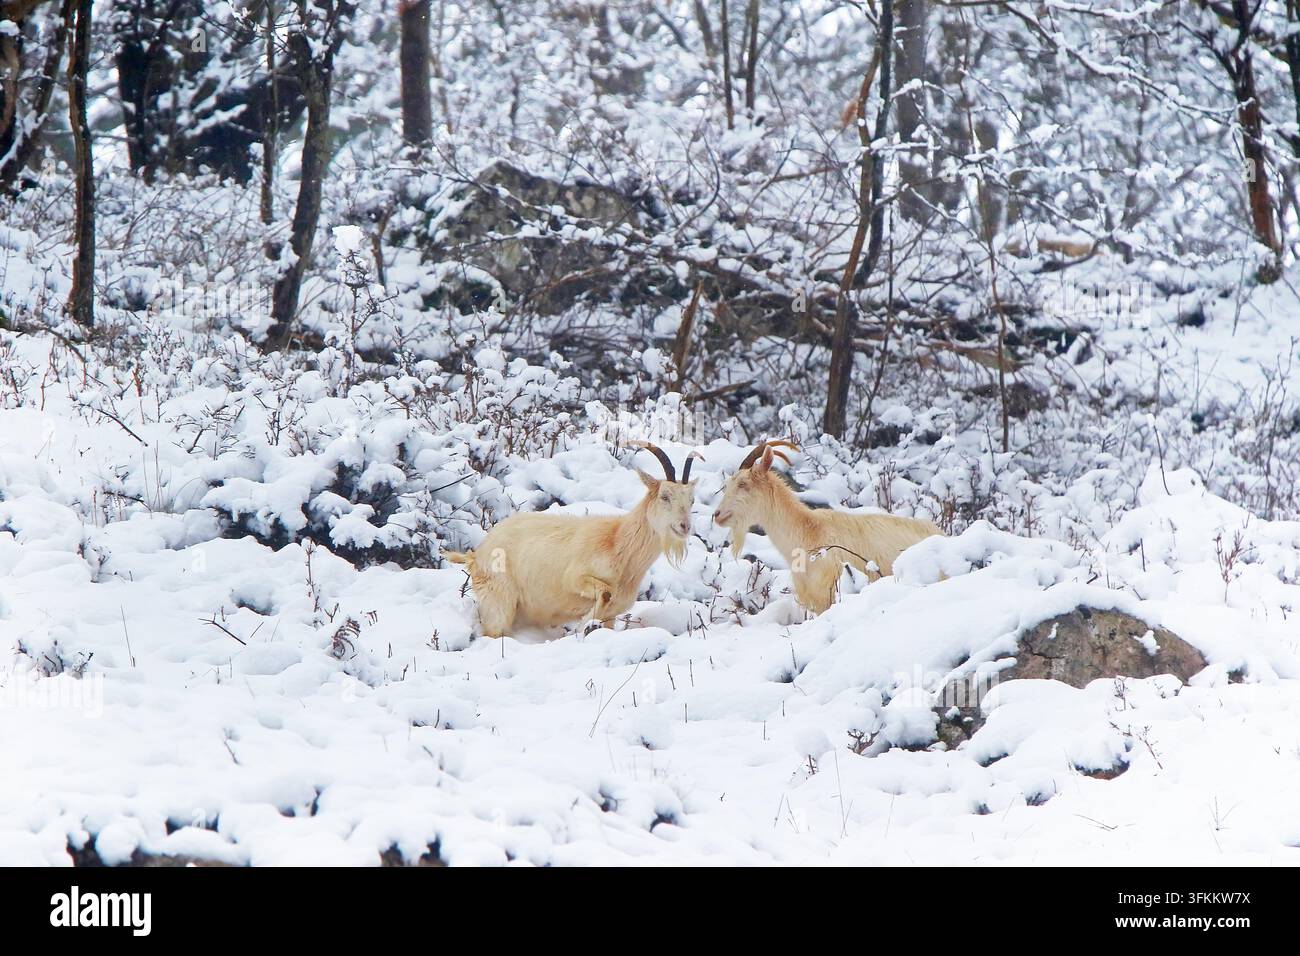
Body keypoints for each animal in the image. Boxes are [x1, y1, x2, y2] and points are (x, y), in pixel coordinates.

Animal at [444, 441, 700, 637]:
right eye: (665, 496)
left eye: (692, 500)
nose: (685, 526)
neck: (619, 543)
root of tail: (476, 555)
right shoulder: (575, 577)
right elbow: (604, 592)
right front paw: (583, 623)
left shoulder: (613, 614)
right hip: (500, 602)